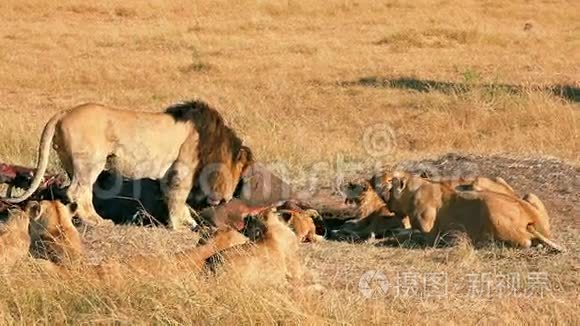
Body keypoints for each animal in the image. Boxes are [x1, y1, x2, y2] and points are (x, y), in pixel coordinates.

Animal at [2, 100, 253, 230]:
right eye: (241, 171)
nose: (229, 198)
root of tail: (64, 112)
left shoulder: (169, 174)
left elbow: (173, 198)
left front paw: (187, 221)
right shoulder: (182, 170)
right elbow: (178, 198)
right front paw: (180, 225)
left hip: (71, 164)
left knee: (76, 192)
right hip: (90, 162)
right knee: (77, 191)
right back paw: (97, 221)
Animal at [386, 172, 560, 251]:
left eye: (390, 188)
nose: (388, 204)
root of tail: (531, 221)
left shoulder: (429, 233)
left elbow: (411, 234)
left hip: (488, 206)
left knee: (525, 242)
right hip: (529, 196)